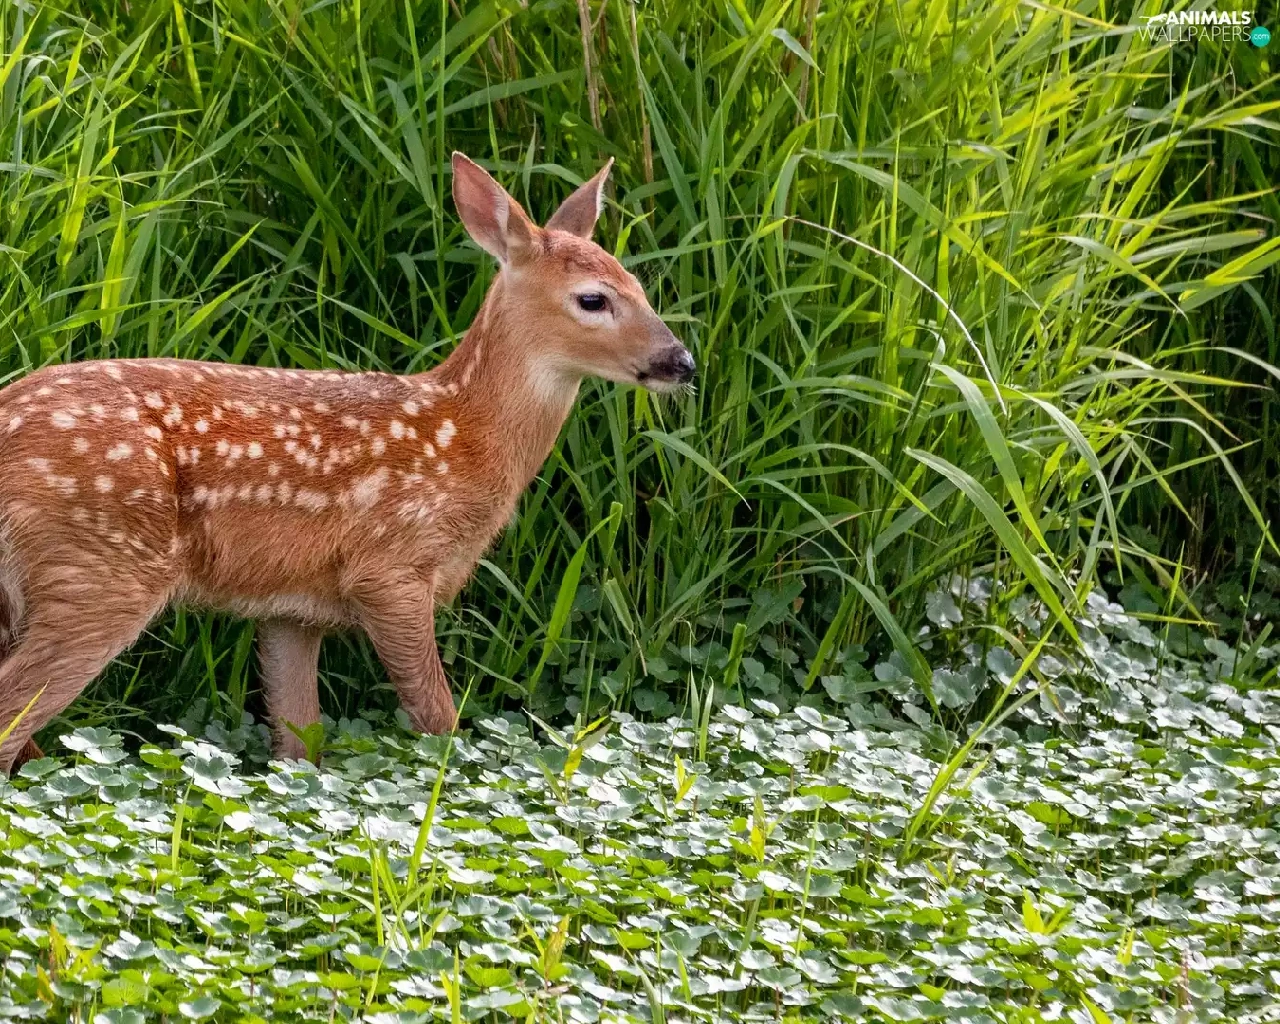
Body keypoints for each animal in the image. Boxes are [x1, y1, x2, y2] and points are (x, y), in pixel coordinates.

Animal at [0, 153, 695, 773]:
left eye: (641, 288)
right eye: (593, 299)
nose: (681, 362)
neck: (463, 437)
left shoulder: (291, 607)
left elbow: (299, 745)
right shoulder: (390, 565)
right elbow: (438, 719)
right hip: (101, 565)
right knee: (14, 714)